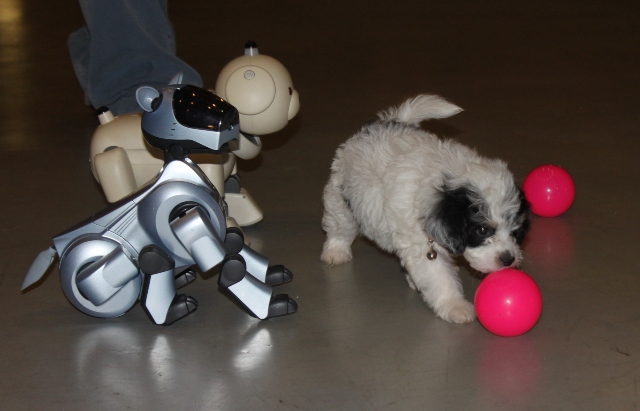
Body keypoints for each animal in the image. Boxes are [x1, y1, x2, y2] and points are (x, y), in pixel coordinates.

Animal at [321, 95, 529, 324]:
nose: (508, 259)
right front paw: (455, 306)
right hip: (341, 194)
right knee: (340, 224)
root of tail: (388, 122)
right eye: (483, 230)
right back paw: (335, 251)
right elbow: (439, 275)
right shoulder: (421, 244)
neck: (442, 184)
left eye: (515, 231)